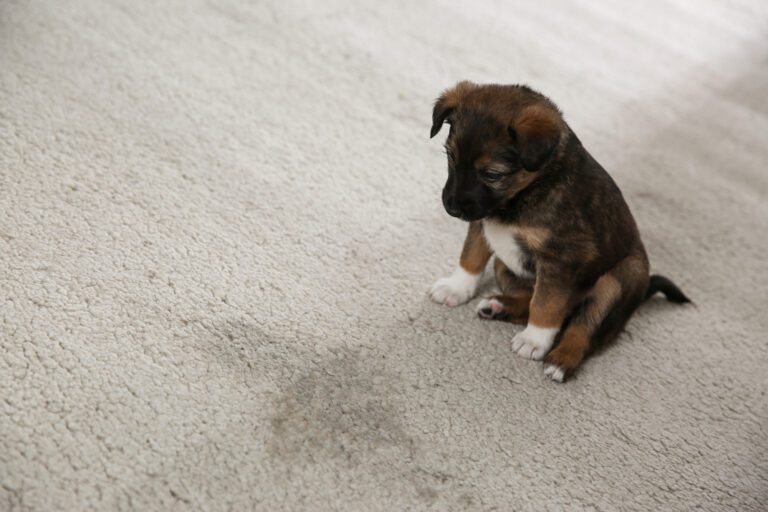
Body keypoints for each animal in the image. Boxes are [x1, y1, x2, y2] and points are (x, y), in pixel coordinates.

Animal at [426, 82, 688, 382]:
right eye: (451, 156)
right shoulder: (482, 223)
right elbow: (470, 257)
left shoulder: (561, 258)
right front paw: (456, 288)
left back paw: (561, 359)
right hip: (505, 264)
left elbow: (547, 304)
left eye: (492, 174)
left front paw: (535, 340)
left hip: (621, 277)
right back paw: (498, 307)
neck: (524, 194)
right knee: (534, 301)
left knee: (582, 328)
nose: (452, 208)